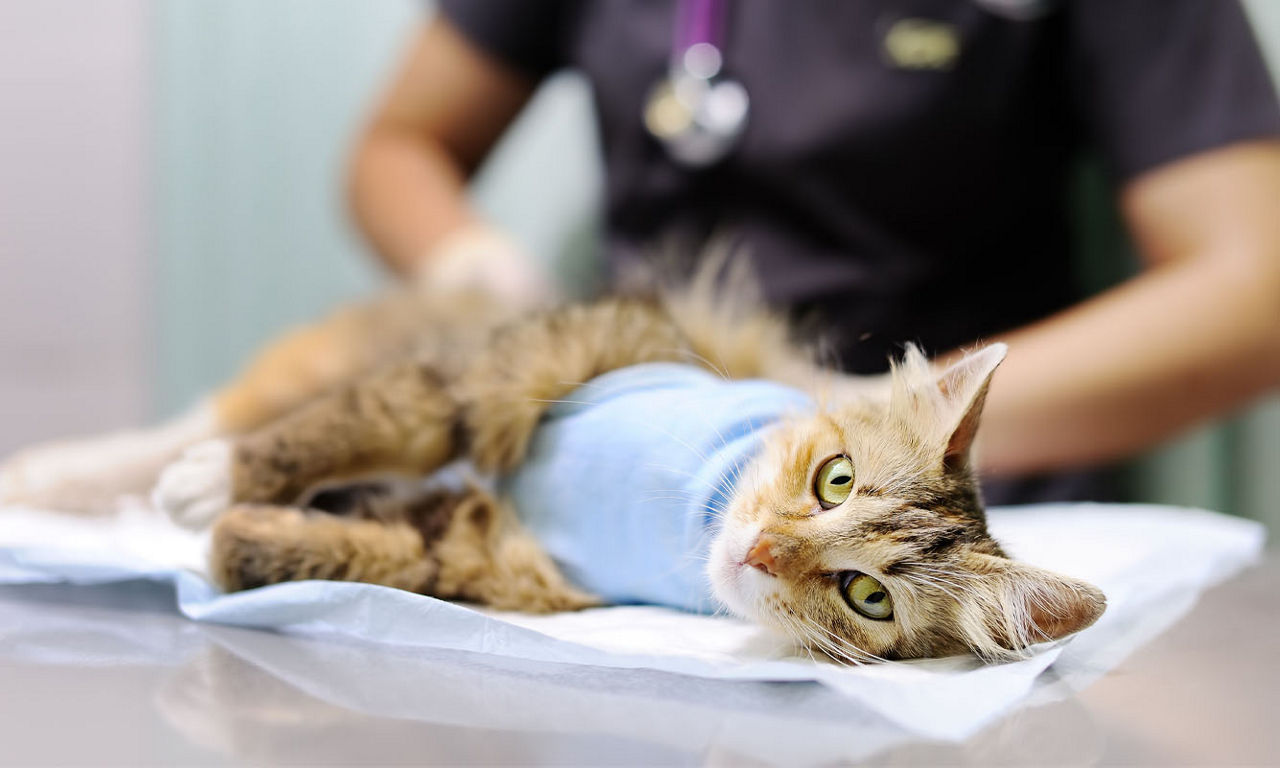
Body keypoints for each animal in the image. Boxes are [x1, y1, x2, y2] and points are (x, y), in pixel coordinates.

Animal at [0, 264, 1105, 660]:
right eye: (834, 478)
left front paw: (243, 535)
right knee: (195, 422)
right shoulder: (507, 377)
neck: (687, 507)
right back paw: (67, 478)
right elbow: (358, 428)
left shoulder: (493, 561)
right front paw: (219, 486)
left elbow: (359, 554)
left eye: (866, 596)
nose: (758, 554)